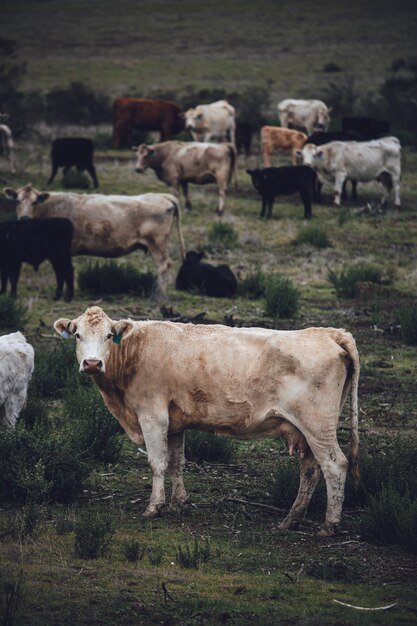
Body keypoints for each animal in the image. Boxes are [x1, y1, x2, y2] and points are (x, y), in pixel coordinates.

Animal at [3, 183, 185, 294]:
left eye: (35, 202)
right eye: (17, 201)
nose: (24, 218)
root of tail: (161, 195)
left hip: (157, 244)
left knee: (163, 266)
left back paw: (159, 295)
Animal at [53, 304, 360, 532]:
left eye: (108, 336)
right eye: (78, 335)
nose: (92, 363)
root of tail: (328, 332)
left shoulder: (153, 416)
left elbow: (157, 463)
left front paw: (154, 507)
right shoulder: (174, 424)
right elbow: (176, 463)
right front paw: (178, 503)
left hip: (318, 425)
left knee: (335, 465)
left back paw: (329, 525)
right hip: (305, 431)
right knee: (310, 470)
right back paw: (291, 520)